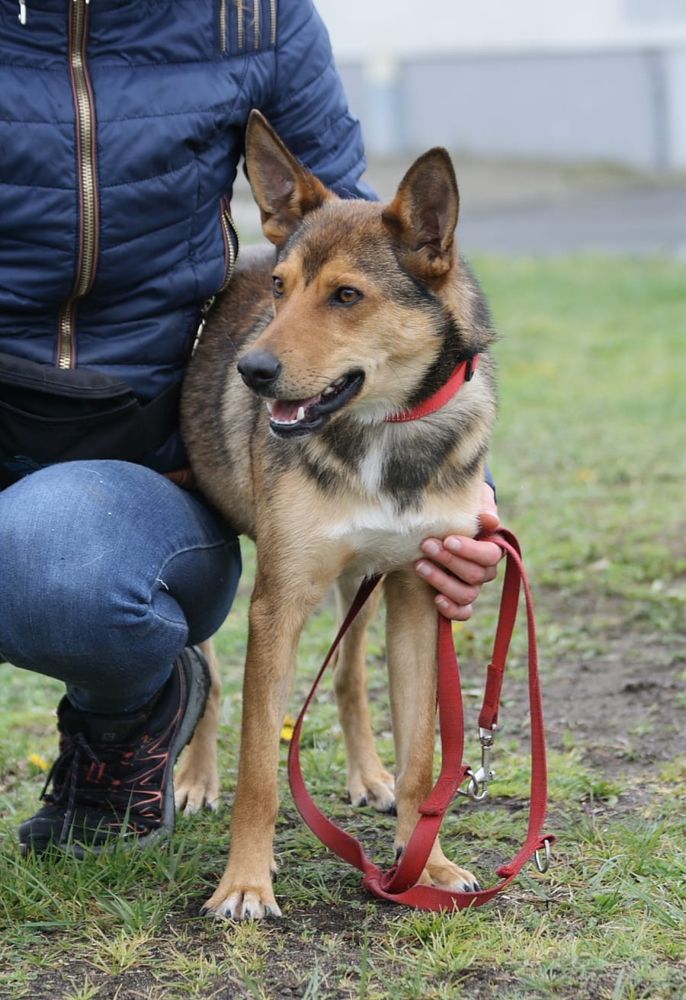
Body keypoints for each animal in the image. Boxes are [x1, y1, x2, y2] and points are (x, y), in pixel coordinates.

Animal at [176, 113, 500, 916]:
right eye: (281, 289)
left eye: (347, 296)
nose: (251, 372)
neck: (382, 430)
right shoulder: (279, 600)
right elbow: (260, 768)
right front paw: (245, 884)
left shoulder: (419, 594)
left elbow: (424, 761)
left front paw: (427, 865)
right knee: (209, 673)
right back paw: (193, 779)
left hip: (365, 582)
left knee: (352, 677)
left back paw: (368, 775)